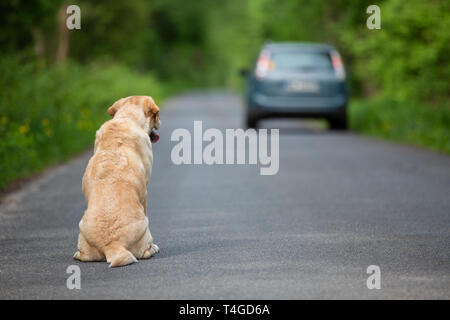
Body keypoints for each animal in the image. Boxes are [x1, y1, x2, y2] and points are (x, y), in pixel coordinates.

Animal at [75, 95, 162, 268]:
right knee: (146, 251)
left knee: (83, 255)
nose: (160, 122)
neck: (126, 118)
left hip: (82, 230)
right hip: (145, 225)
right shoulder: (145, 193)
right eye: (156, 116)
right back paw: (153, 248)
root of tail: (113, 245)